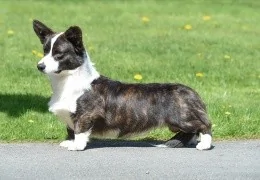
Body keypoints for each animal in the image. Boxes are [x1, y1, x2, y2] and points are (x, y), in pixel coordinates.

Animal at [33, 19, 211, 151]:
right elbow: (70, 130)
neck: (67, 80)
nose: (39, 66)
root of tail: (193, 93)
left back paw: (205, 144)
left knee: (204, 125)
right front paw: (69, 142)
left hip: (181, 119)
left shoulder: (85, 115)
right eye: (45, 51)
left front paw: (77, 145)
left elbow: (79, 130)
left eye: (58, 54)